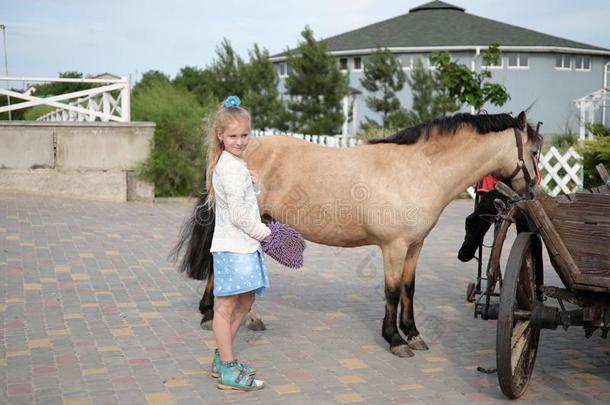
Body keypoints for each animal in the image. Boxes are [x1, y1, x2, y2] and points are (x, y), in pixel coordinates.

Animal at [183, 109, 540, 356]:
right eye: (534, 152)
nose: (533, 193)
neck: (418, 171)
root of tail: (239, 151)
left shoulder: (415, 245)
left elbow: (409, 289)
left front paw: (413, 334)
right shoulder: (394, 246)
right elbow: (392, 291)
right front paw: (395, 339)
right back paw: (213, 315)